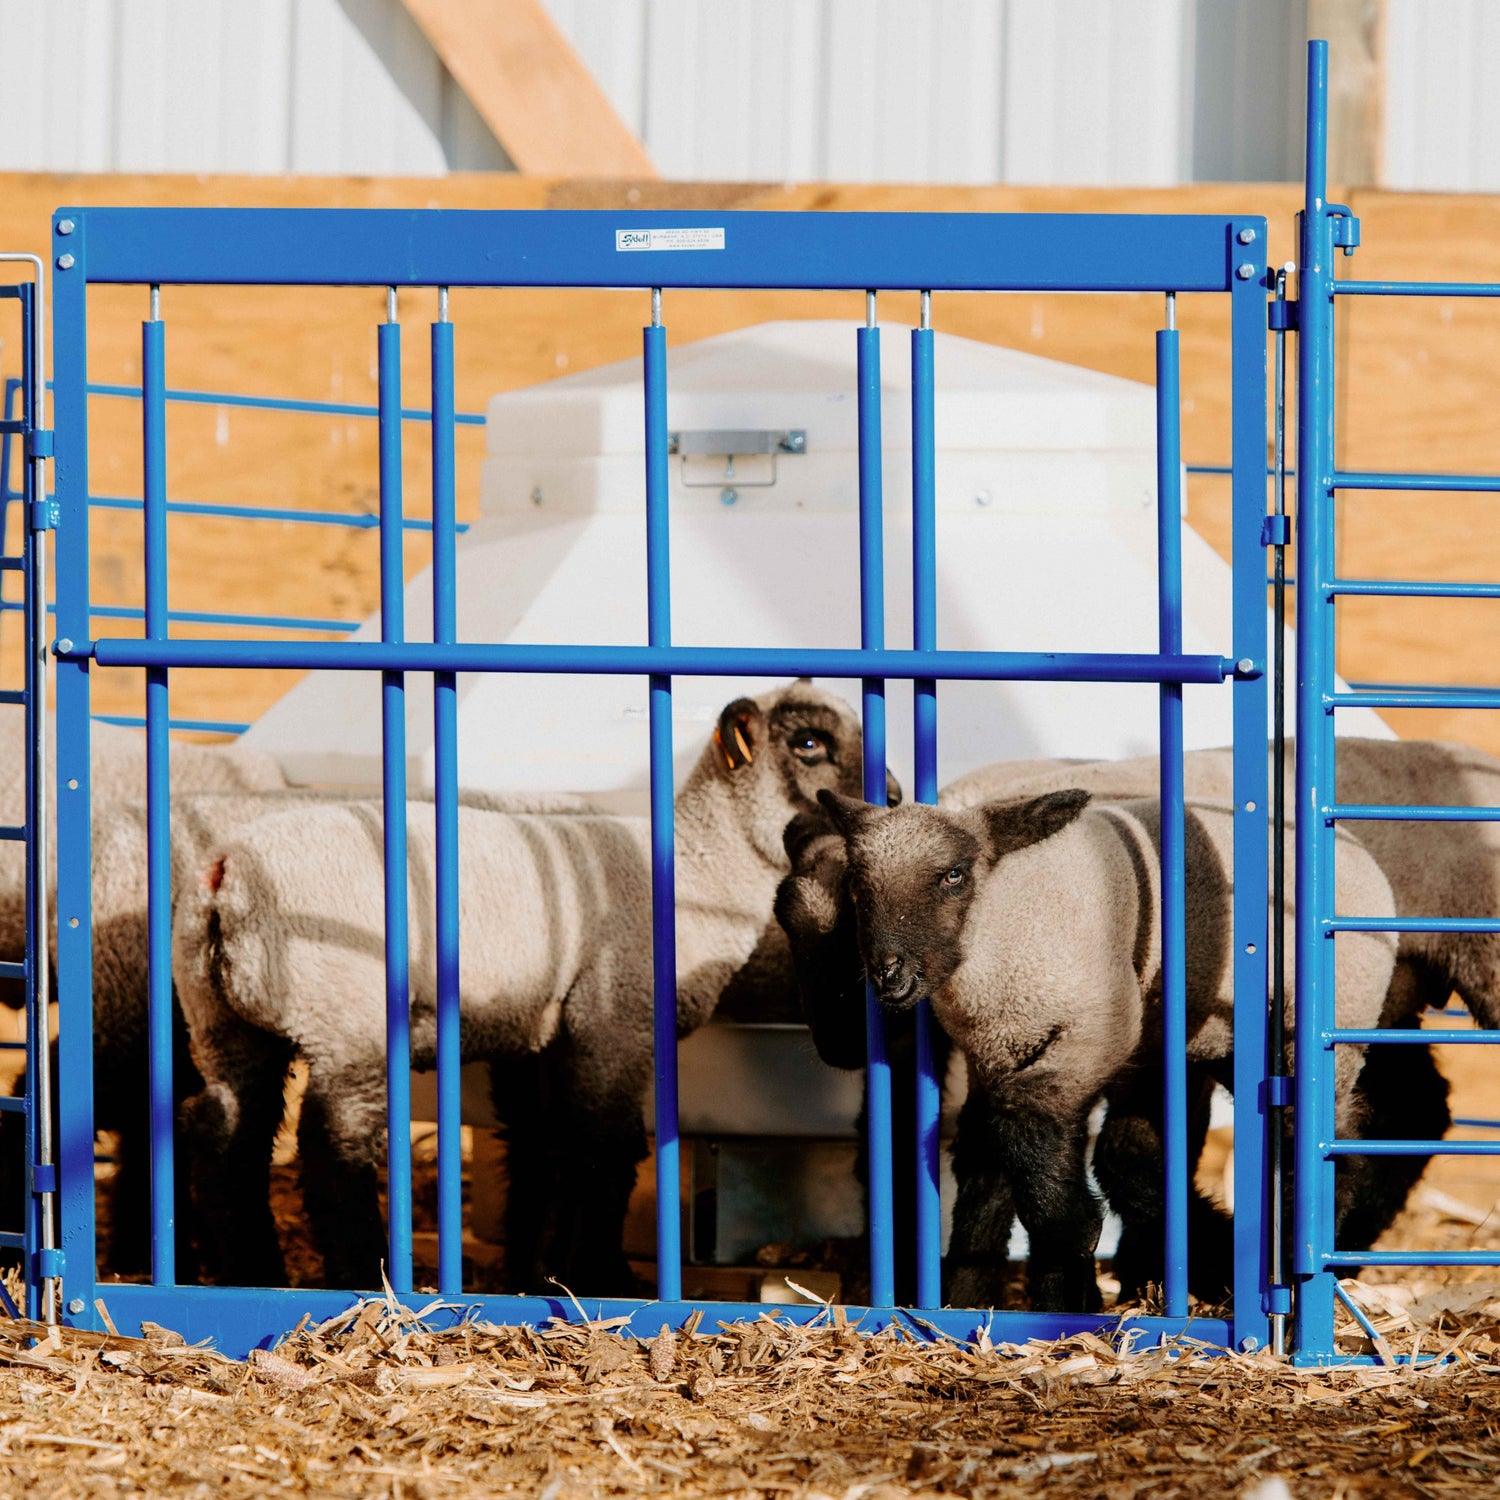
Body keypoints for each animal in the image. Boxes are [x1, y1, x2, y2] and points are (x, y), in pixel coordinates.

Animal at [171, 681, 892, 1292]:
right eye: (810, 743)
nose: (891, 797)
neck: (698, 873)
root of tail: (226, 875)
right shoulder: (614, 1019)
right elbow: (605, 1148)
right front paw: (601, 1276)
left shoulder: (539, 1033)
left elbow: (542, 1148)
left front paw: (534, 1271)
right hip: (345, 1019)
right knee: (332, 1150)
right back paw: (363, 1275)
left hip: (224, 1021)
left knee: (228, 1136)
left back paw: (251, 1275)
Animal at [811, 787, 1398, 1313]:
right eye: (858, 882)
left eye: (953, 874)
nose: (888, 974)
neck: (1004, 922)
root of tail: (1359, 851)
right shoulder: (997, 1056)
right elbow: (986, 1165)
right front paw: (967, 1300)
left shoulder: (1094, 1034)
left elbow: (1025, 1133)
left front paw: (1069, 1279)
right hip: (1192, 1043)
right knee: (1133, 1153)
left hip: (1320, 1027)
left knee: (1324, 1144)